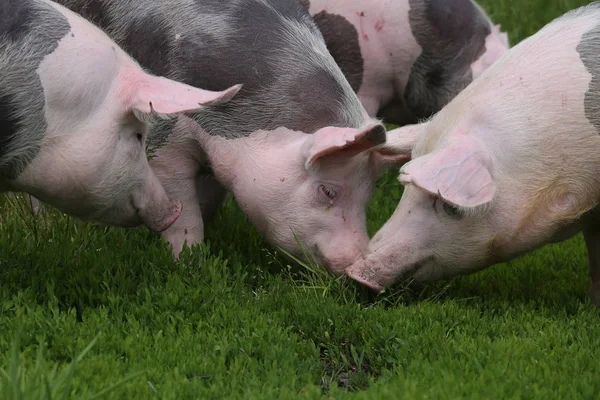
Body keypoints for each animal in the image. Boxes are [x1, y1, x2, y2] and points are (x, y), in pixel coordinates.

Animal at [54, 0, 406, 274]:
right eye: (329, 191)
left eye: (368, 194)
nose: (355, 265)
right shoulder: (165, 139)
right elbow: (183, 210)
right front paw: (189, 263)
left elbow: (208, 201)